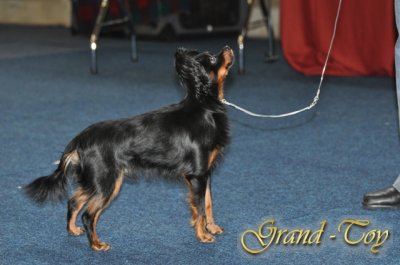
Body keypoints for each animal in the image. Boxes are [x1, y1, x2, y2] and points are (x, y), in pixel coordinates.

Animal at [25, 45, 234, 250]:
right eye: (213, 59)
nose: (227, 47)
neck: (204, 106)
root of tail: (79, 139)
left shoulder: (205, 174)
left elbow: (208, 203)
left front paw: (212, 228)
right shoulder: (197, 175)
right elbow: (199, 208)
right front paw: (203, 235)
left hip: (96, 182)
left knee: (73, 201)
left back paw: (73, 230)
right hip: (107, 183)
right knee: (88, 215)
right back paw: (97, 245)